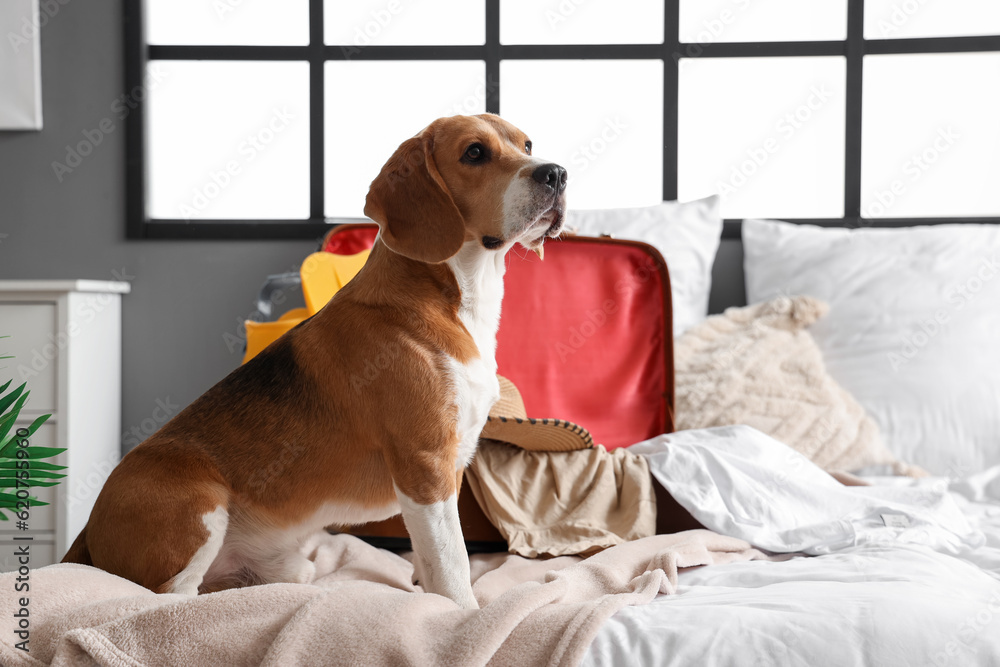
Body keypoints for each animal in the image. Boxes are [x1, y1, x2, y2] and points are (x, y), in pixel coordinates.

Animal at [64, 113, 572, 612]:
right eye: (475, 153)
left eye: (527, 145)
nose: (557, 173)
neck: (456, 295)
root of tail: (86, 532)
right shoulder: (426, 466)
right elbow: (452, 562)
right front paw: (461, 615)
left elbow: (430, 562)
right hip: (201, 503)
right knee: (164, 600)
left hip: (288, 563)